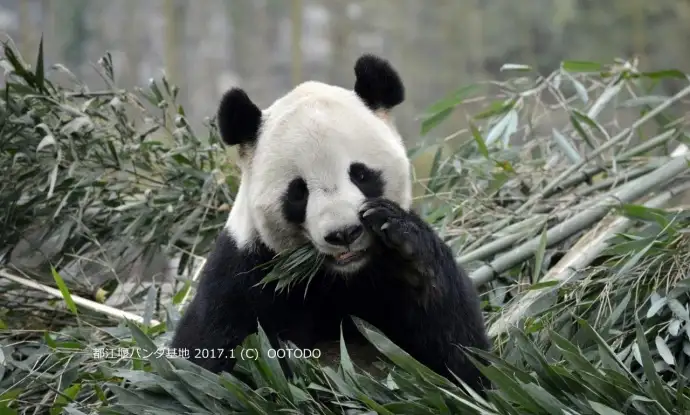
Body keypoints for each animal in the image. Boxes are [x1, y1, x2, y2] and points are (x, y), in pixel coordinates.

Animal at [168, 54, 490, 394]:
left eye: (360, 173)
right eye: (298, 192)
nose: (344, 233)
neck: (339, 278)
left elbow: (463, 360)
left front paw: (405, 245)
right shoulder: (244, 278)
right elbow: (210, 367)